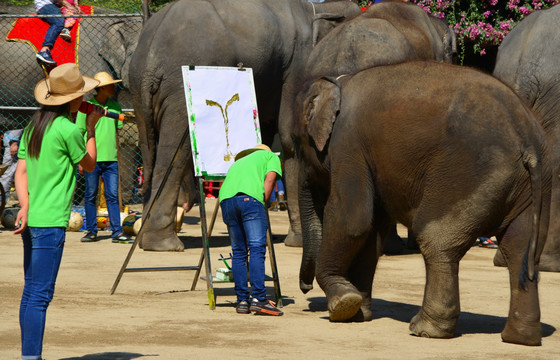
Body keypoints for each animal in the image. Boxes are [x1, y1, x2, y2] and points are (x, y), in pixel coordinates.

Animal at [298, 61, 552, 346]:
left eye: (297, 147)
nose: (305, 290)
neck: (338, 81)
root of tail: (527, 141)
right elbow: (372, 231)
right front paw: (357, 313)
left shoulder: (347, 144)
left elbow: (353, 219)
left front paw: (343, 303)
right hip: (535, 185)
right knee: (520, 250)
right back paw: (519, 338)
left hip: (467, 175)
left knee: (435, 238)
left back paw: (425, 330)